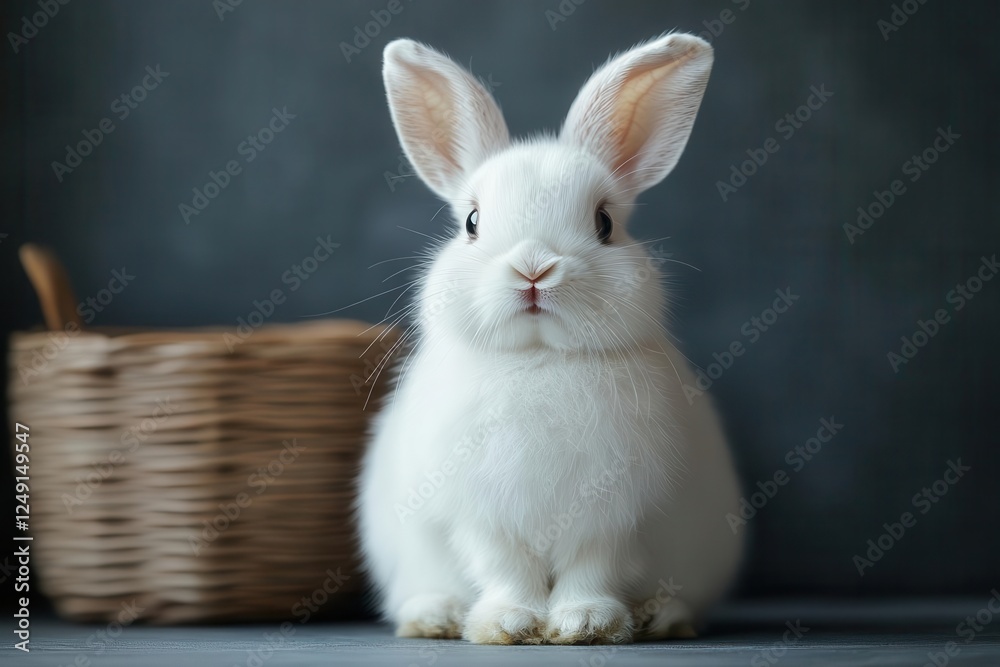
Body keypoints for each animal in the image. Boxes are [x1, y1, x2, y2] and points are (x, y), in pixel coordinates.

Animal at [356, 32, 744, 645]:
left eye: (604, 223)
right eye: (471, 222)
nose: (533, 268)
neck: (539, 358)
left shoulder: (615, 516)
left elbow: (593, 566)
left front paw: (585, 624)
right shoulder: (481, 515)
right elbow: (505, 568)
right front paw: (510, 625)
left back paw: (661, 617)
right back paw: (436, 617)